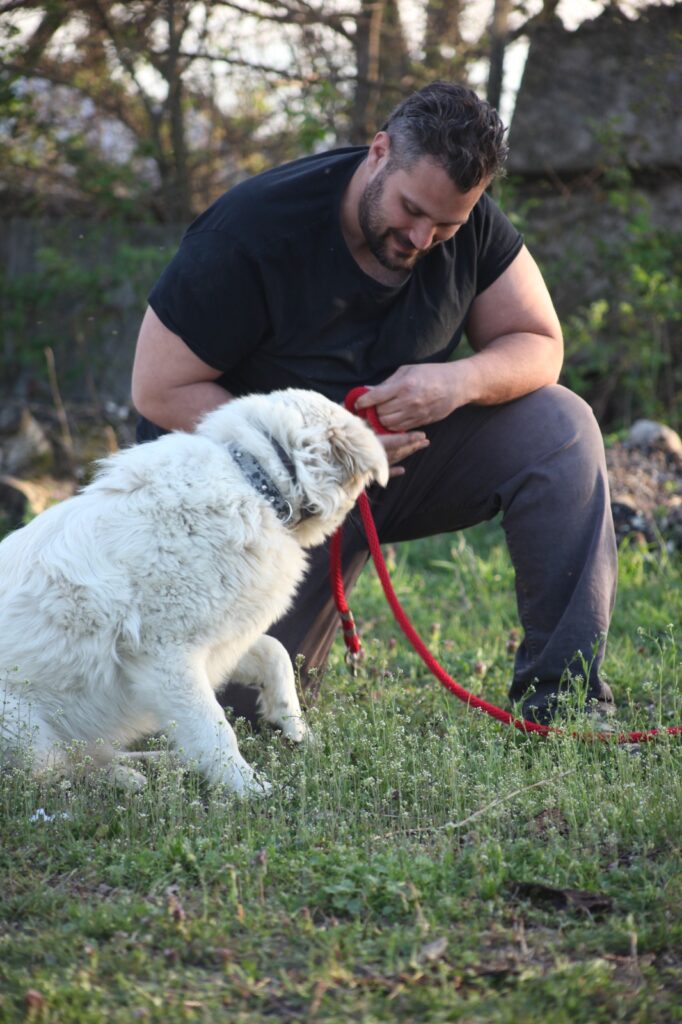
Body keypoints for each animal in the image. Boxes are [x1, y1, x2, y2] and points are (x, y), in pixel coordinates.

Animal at [0, 387, 385, 794]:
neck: (257, 485)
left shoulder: (222, 639)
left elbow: (275, 653)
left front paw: (294, 726)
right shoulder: (167, 656)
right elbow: (215, 730)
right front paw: (249, 789)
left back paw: (154, 762)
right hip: (24, 729)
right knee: (58, 773)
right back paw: (123, 777)